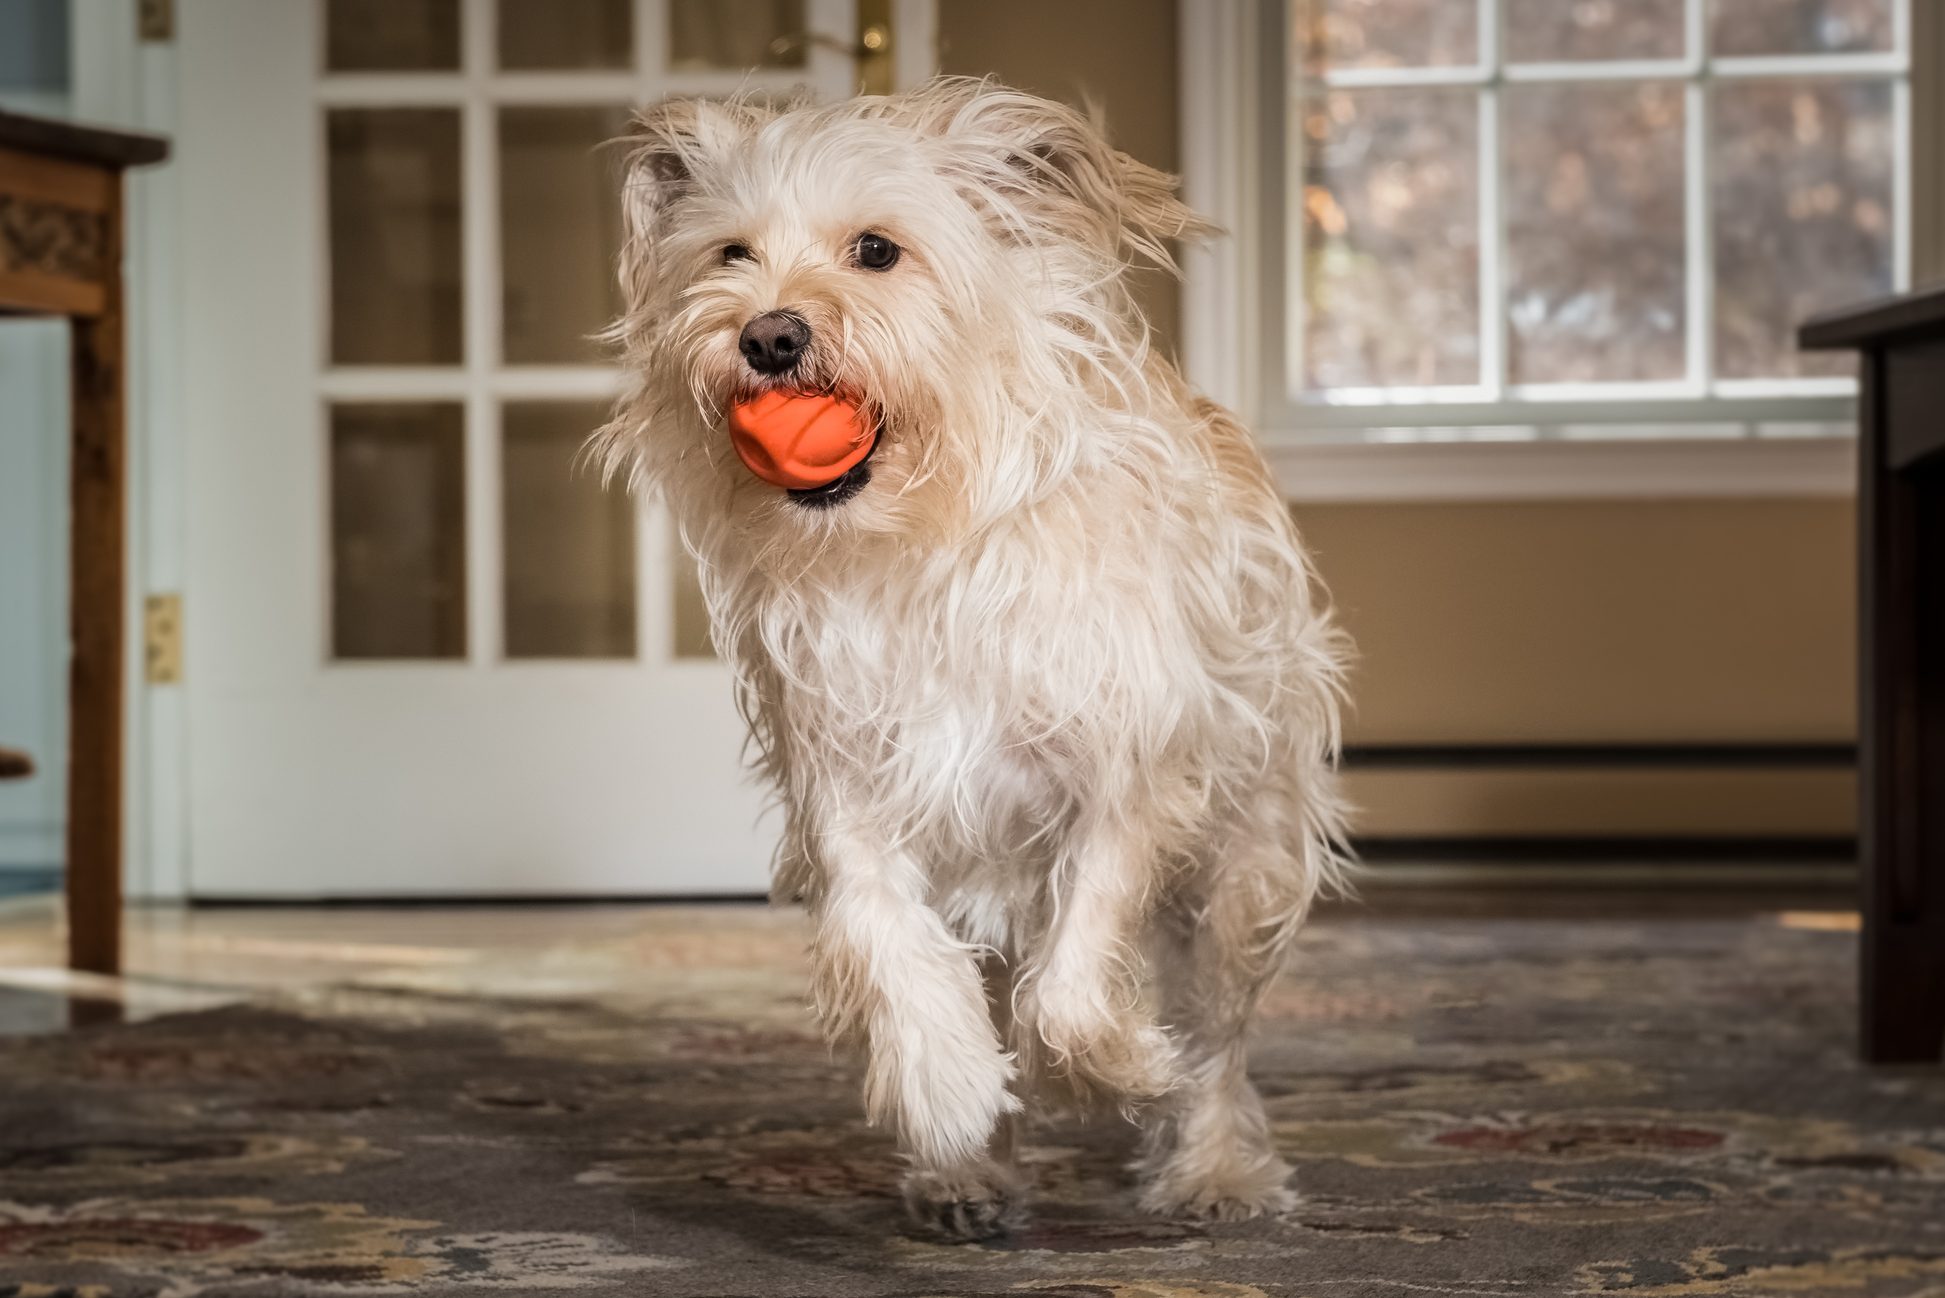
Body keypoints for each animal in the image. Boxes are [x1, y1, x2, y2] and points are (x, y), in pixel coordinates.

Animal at [599, 78, 1345, 1237]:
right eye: (730, 253)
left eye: (875, 249)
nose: (768, 336)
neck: (918, 544)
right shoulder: (848, 788)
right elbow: (891, 943)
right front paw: (948, 1090)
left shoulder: (1122, 783)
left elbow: (1076, 986)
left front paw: (1124, 1067)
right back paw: (971, 1171)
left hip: (1242, 866)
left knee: (1218, 1036)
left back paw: (1214, 1169)